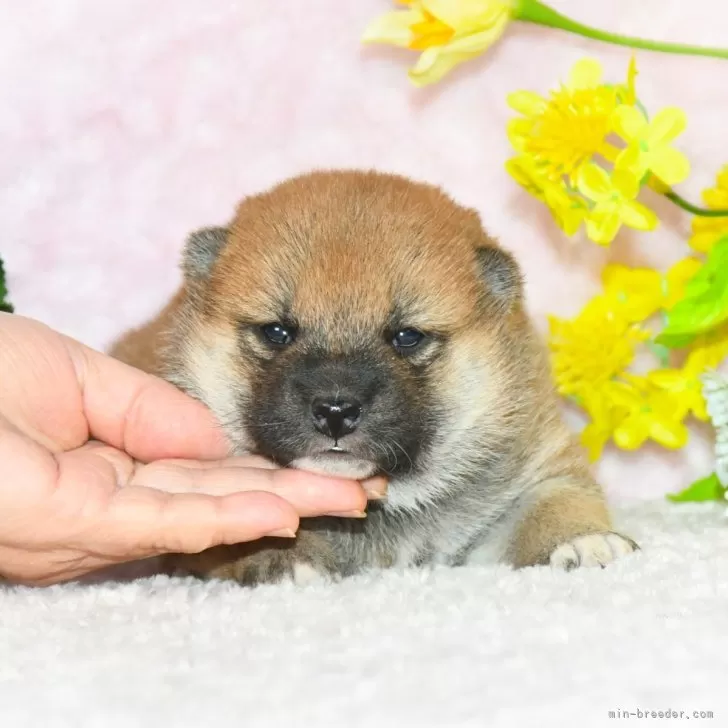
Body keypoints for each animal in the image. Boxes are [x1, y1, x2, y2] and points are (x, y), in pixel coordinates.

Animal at [109, 171, 636, 584]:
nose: (335, 410)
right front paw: (285, 560)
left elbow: (556, 503)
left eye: (406, 337)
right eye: (276, 332)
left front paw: (586, 542)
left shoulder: (537, 469)